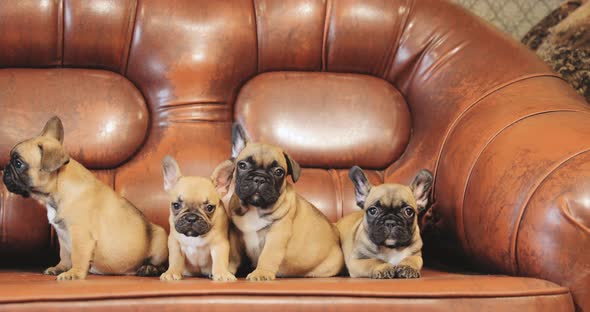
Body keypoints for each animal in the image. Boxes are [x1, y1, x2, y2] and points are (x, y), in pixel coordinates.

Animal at [2, 117, 169, 280]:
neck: (56, 193)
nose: (5, 170)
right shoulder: (62, 236)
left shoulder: (80, 233)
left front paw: (73, 273)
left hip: (160, 240)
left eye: (18, 163)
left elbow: (78, 255)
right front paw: (60, 268)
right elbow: (65, 255)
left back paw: (149, 269)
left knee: (163, 265)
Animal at [229, 123, 344, 282]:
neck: (255, 208)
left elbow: (268, 255)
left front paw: (261, 273)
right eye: (242, 165)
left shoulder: (277, 233)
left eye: (279, 172)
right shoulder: (235, 233)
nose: (259, 178)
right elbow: (233, 255)